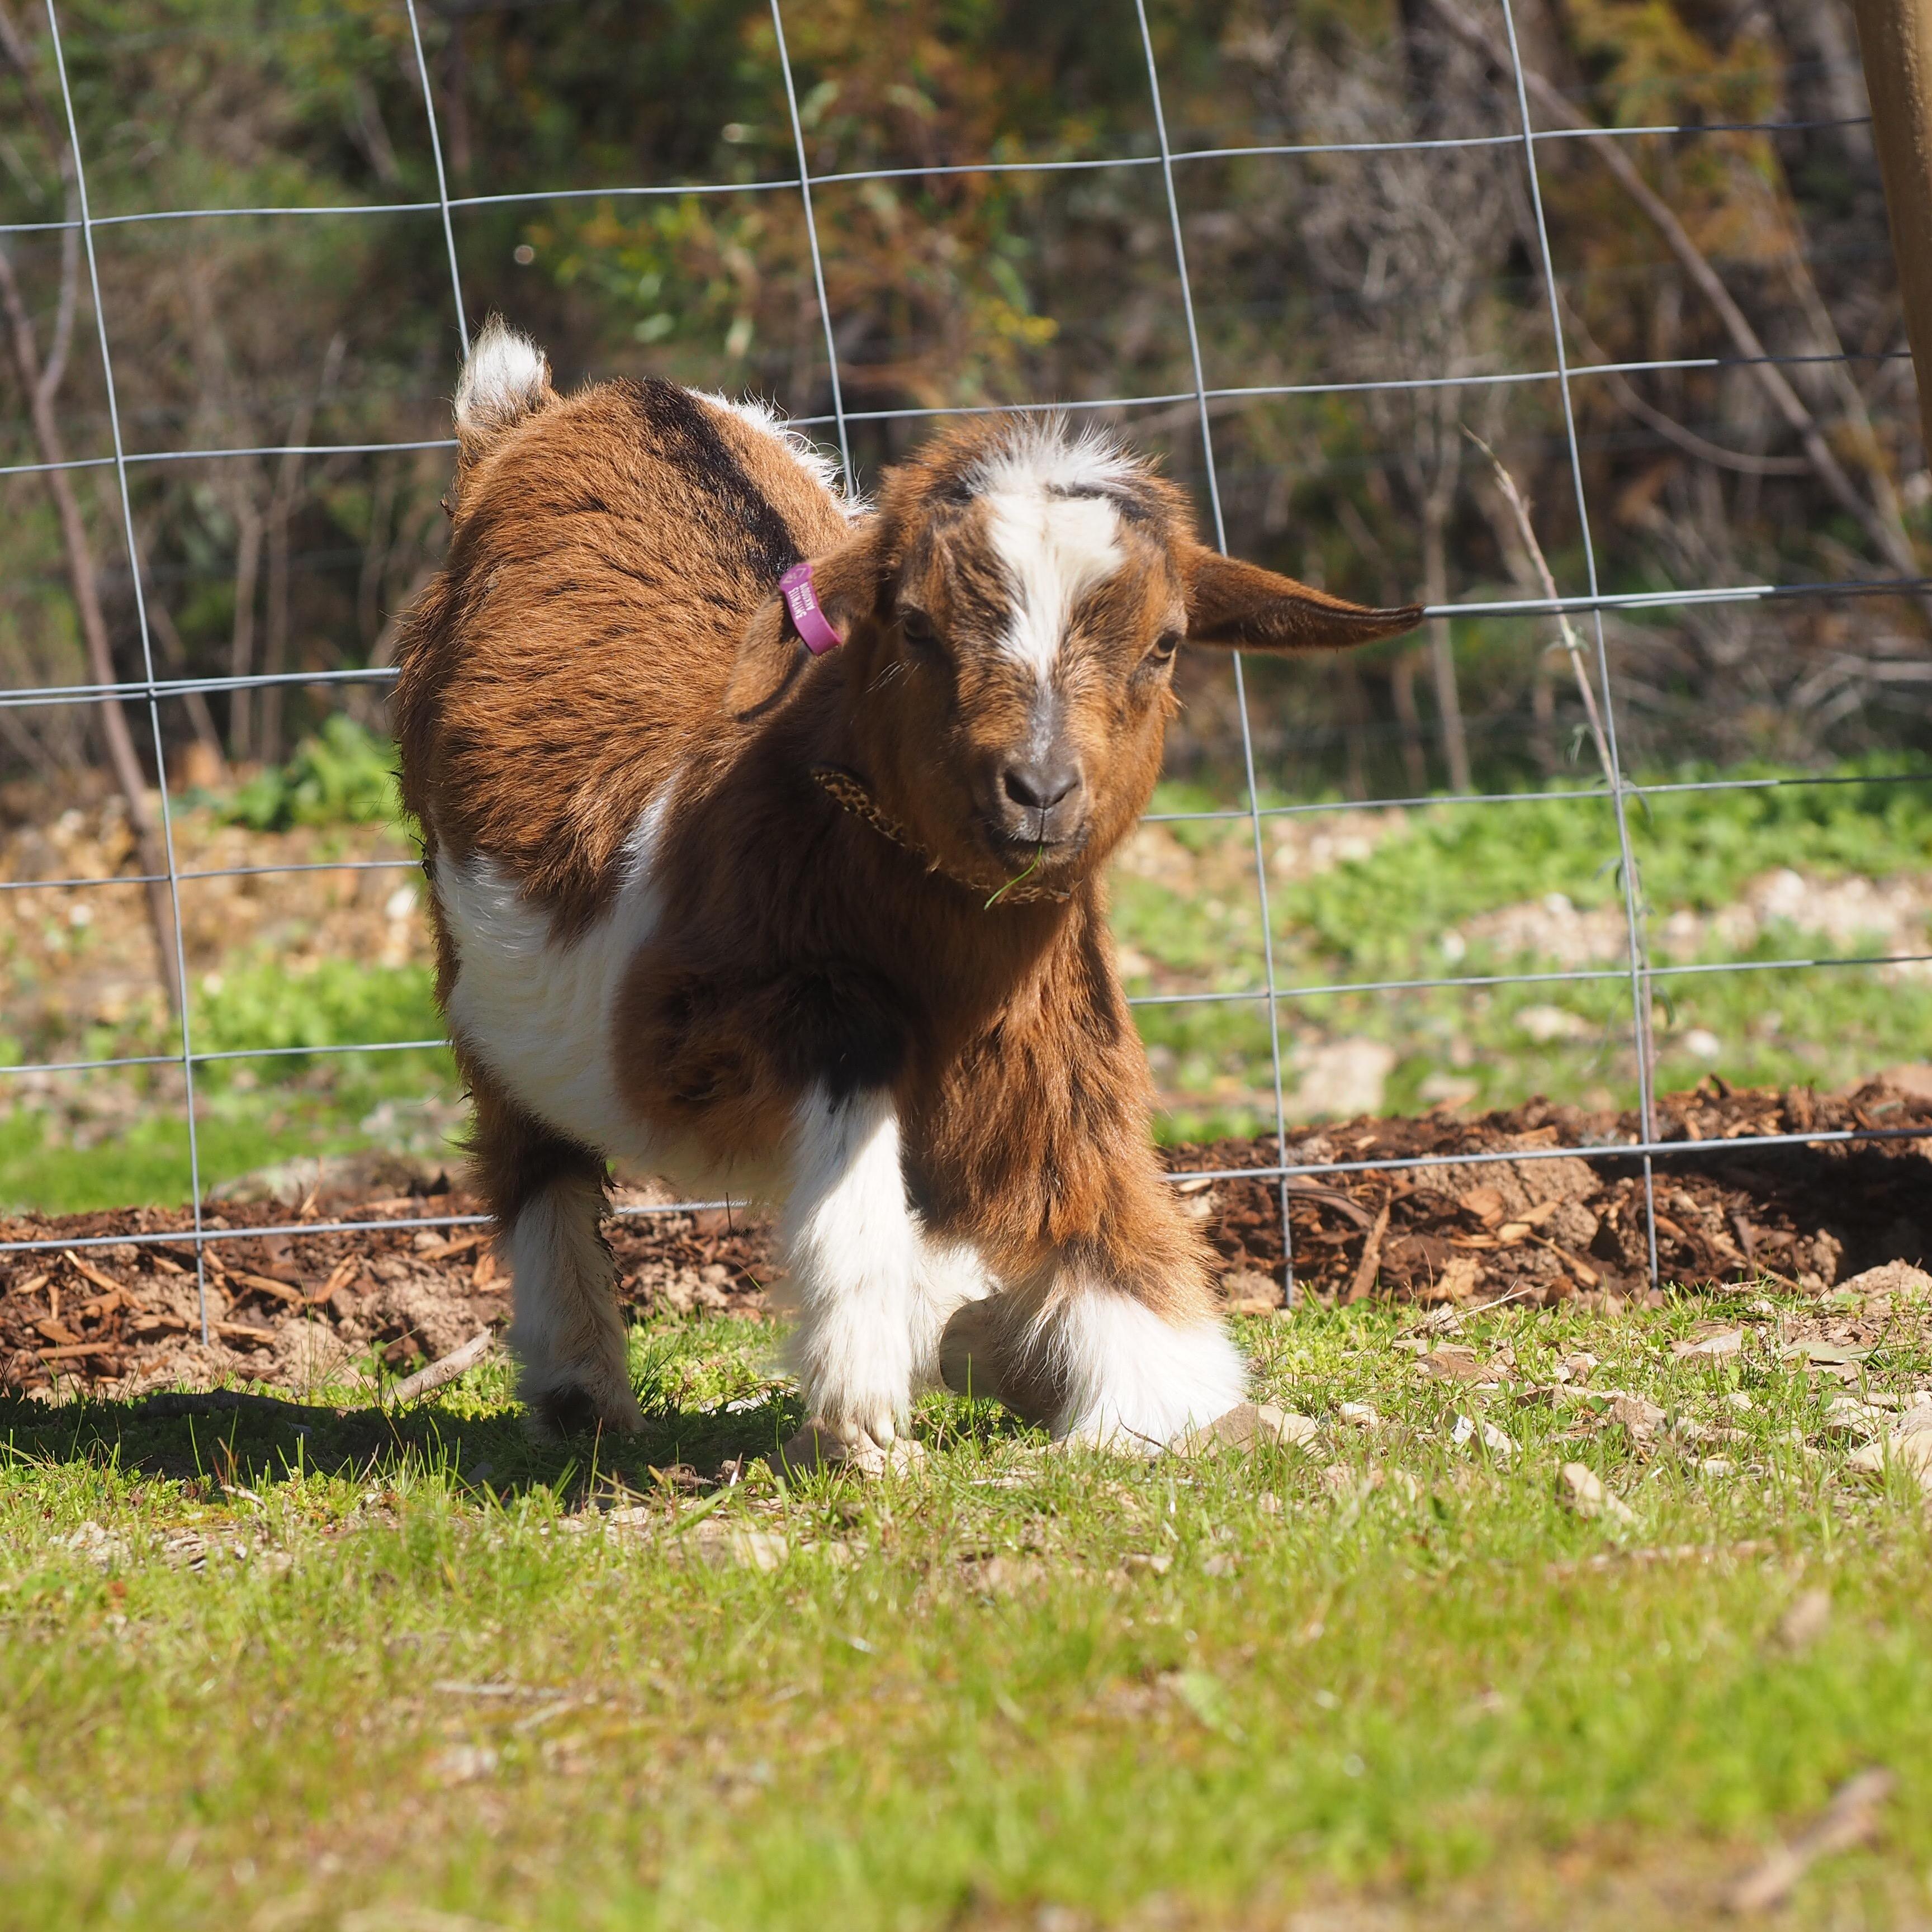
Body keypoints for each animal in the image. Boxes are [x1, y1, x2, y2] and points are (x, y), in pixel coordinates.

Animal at [395, 319, 1420, 1451]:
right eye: (919, 626)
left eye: (1163, 645)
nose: (1039, 793)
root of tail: (555, 410)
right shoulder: (695, 1031)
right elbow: (855, 1079)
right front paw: (870, 1389)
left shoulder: (1066, 1045)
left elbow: (1102, 1210)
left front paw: (1167, 1395)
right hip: (475, 953)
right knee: (533, 1146)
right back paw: (584, 1388)